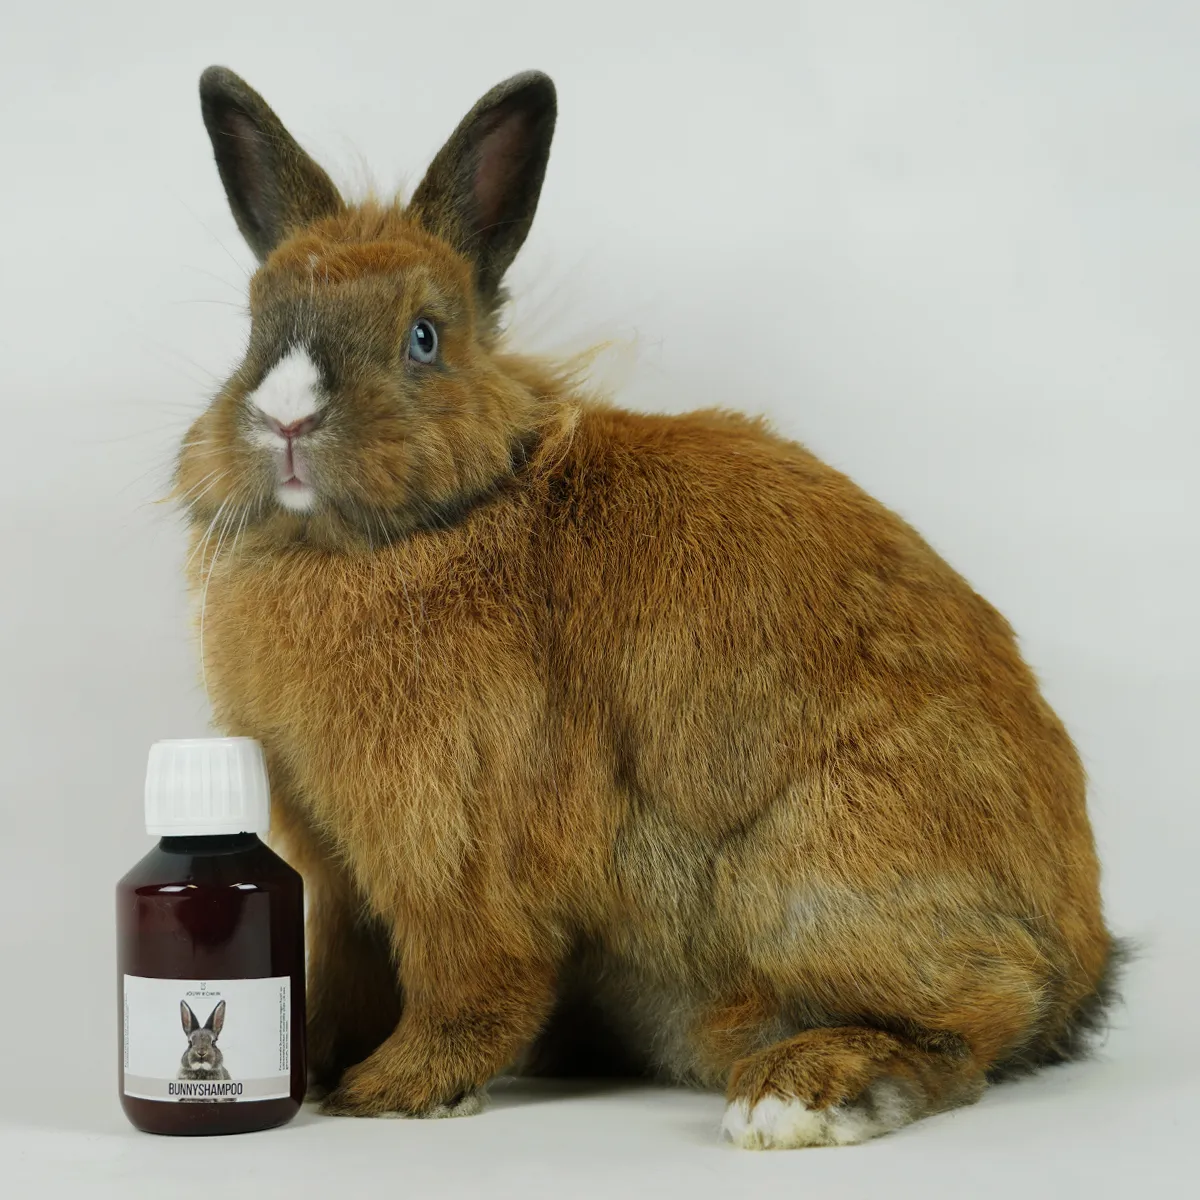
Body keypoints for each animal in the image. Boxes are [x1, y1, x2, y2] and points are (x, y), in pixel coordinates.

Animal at [176, 65, 1123, 1148]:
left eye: (423, 337)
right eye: (256, 329)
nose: (285, 419)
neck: (425, 525)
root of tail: (1084, 955)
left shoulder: (448, 849)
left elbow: (475, 980)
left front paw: (395, 1092)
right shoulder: (330, 867)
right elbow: (335, 974)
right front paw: (312, 1068)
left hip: (816, 884)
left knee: (976, 1022)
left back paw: (796, 1093)